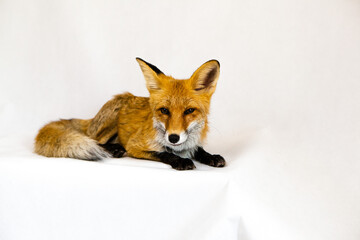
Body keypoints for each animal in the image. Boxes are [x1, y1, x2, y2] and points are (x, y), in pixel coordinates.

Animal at [34, 58, 225, 170]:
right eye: (164, 110)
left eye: (189, 111)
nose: (173, 138)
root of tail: (92, 119)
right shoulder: (135, 146)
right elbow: (163, 153)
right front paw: (180, 160)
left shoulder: (192, 144)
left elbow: (198, 150)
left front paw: (210, 156)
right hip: (113, 115)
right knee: (93, 140)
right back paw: (114, 149)